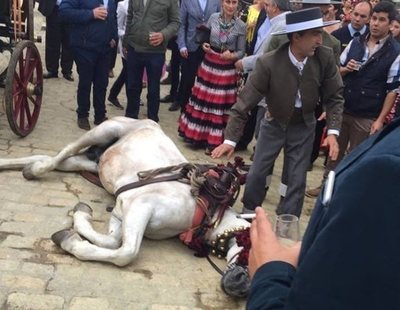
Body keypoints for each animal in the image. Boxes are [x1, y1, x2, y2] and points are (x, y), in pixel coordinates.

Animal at [0, 117, 252, 298]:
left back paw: (16, 165)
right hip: (104, 130)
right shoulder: (140, 206)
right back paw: (34, 171)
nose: (243, 287)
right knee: (64, 152)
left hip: (93, 163)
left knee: (58, 159)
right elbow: (125, 252)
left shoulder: (124, 211)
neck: (205, 206)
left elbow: (111, 240)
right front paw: (70, 241)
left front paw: (79, 219)